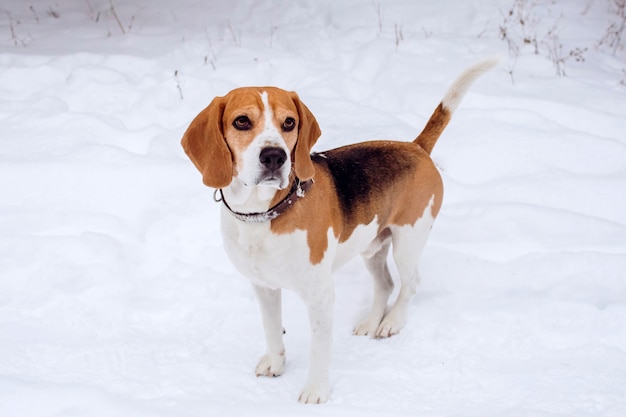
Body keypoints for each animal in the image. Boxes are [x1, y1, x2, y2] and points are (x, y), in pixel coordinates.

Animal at [180, 58, 498, 404]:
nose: (275, 156)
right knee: (385, 284)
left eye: (289, 123)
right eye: (241, 121)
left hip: (408, 241)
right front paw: (276, 363)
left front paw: (316, 390)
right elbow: (272, 328)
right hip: (372, 246)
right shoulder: (263, 287)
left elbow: (319, 349)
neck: (264, 214)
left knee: (411, 283)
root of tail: (416, 147)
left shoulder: (320, 295)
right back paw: (371, 322)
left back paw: (392, 322)